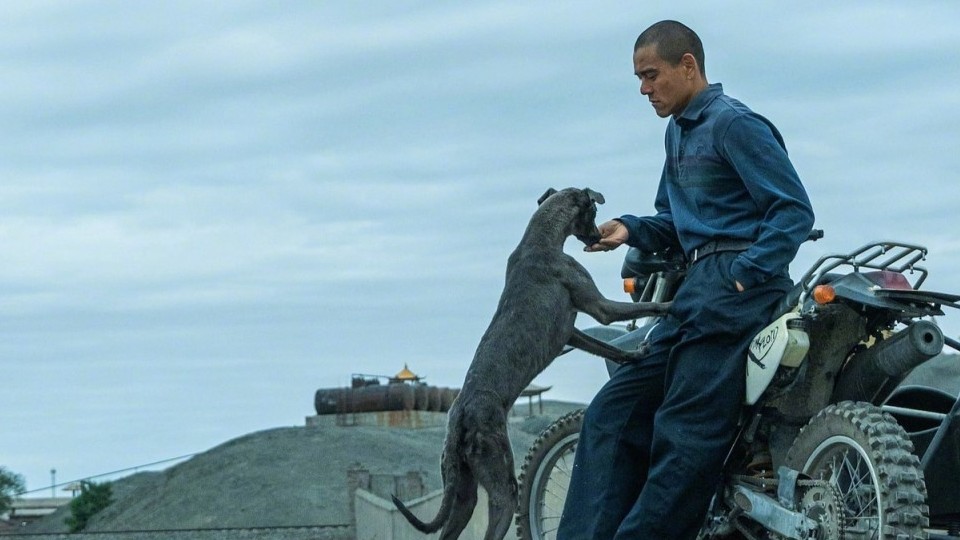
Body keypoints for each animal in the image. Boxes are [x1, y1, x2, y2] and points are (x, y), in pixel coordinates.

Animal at [392, 187, 670, 540]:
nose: (597, 237)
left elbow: (608, 348)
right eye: (593, 211)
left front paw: (635, 354)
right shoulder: (600, 307)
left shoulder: (570, 332)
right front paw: (672, 306)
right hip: (501, 483)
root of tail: (460, 419)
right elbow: (646, 306)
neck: (539, 240)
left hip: (464, 490)